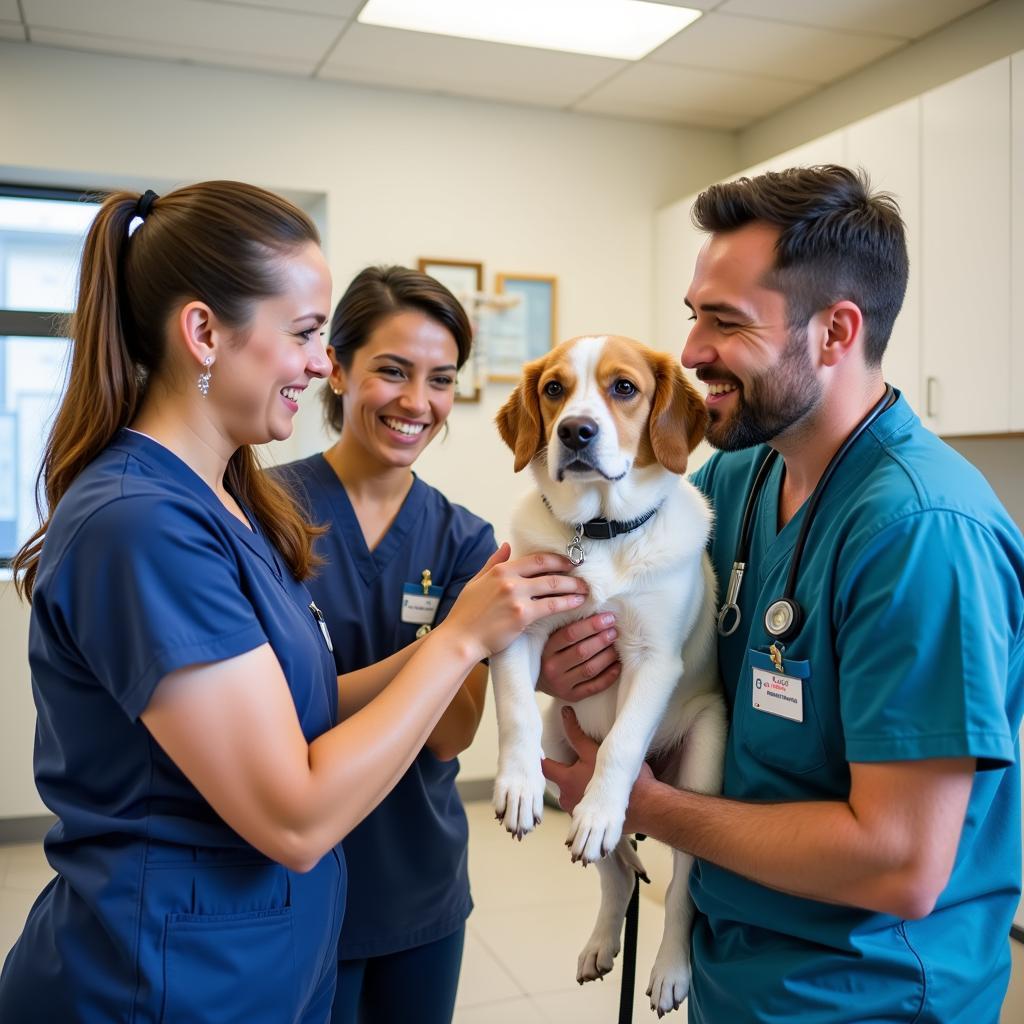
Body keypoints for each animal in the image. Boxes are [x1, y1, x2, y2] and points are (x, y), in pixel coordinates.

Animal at [489, 335, 724, 1015]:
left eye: (624, 388)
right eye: (553, 389)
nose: (575, 432)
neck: (599, 533)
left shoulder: (655, 660)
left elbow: (620, 745)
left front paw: (600, 810)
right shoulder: (518, 629)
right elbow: (514, 709)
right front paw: (516, 786)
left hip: (704, 759)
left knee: (683, 889)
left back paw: (669, 968)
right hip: (560, 742)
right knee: (617, 872)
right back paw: (600, 940)